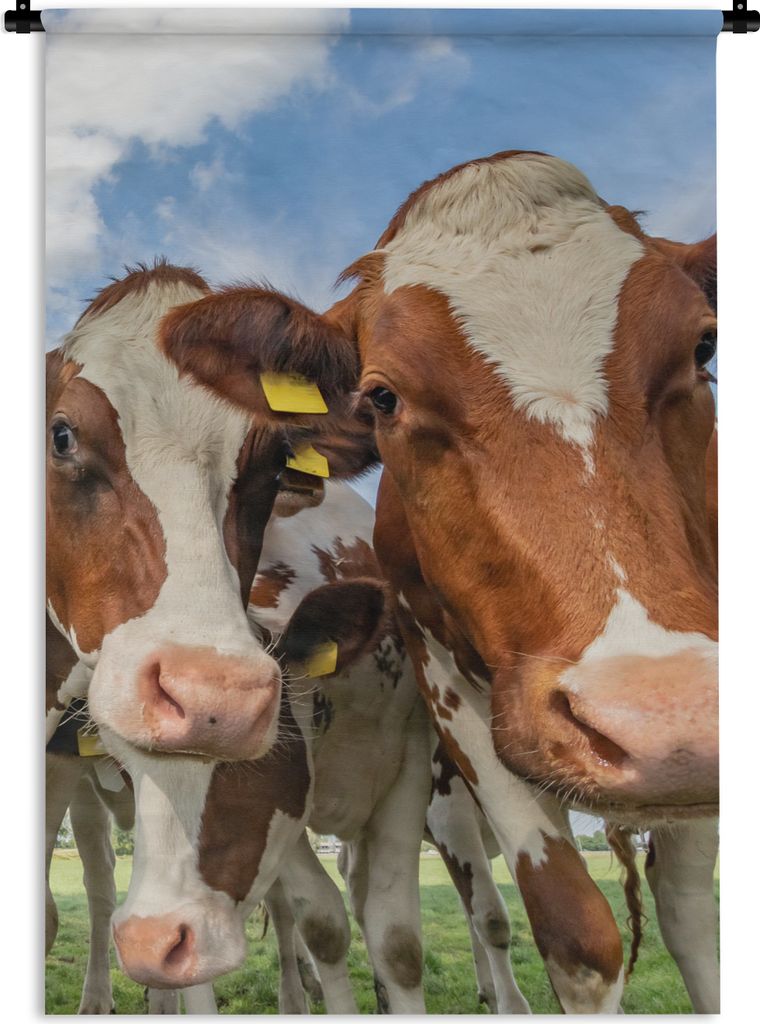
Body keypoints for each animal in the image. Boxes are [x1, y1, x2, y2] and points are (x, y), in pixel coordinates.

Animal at [158, 151, 718, 1012]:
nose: (656, 718)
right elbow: (575, 936)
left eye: (704, 347)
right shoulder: (452, 689)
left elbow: (690, 915)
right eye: (383, 396)